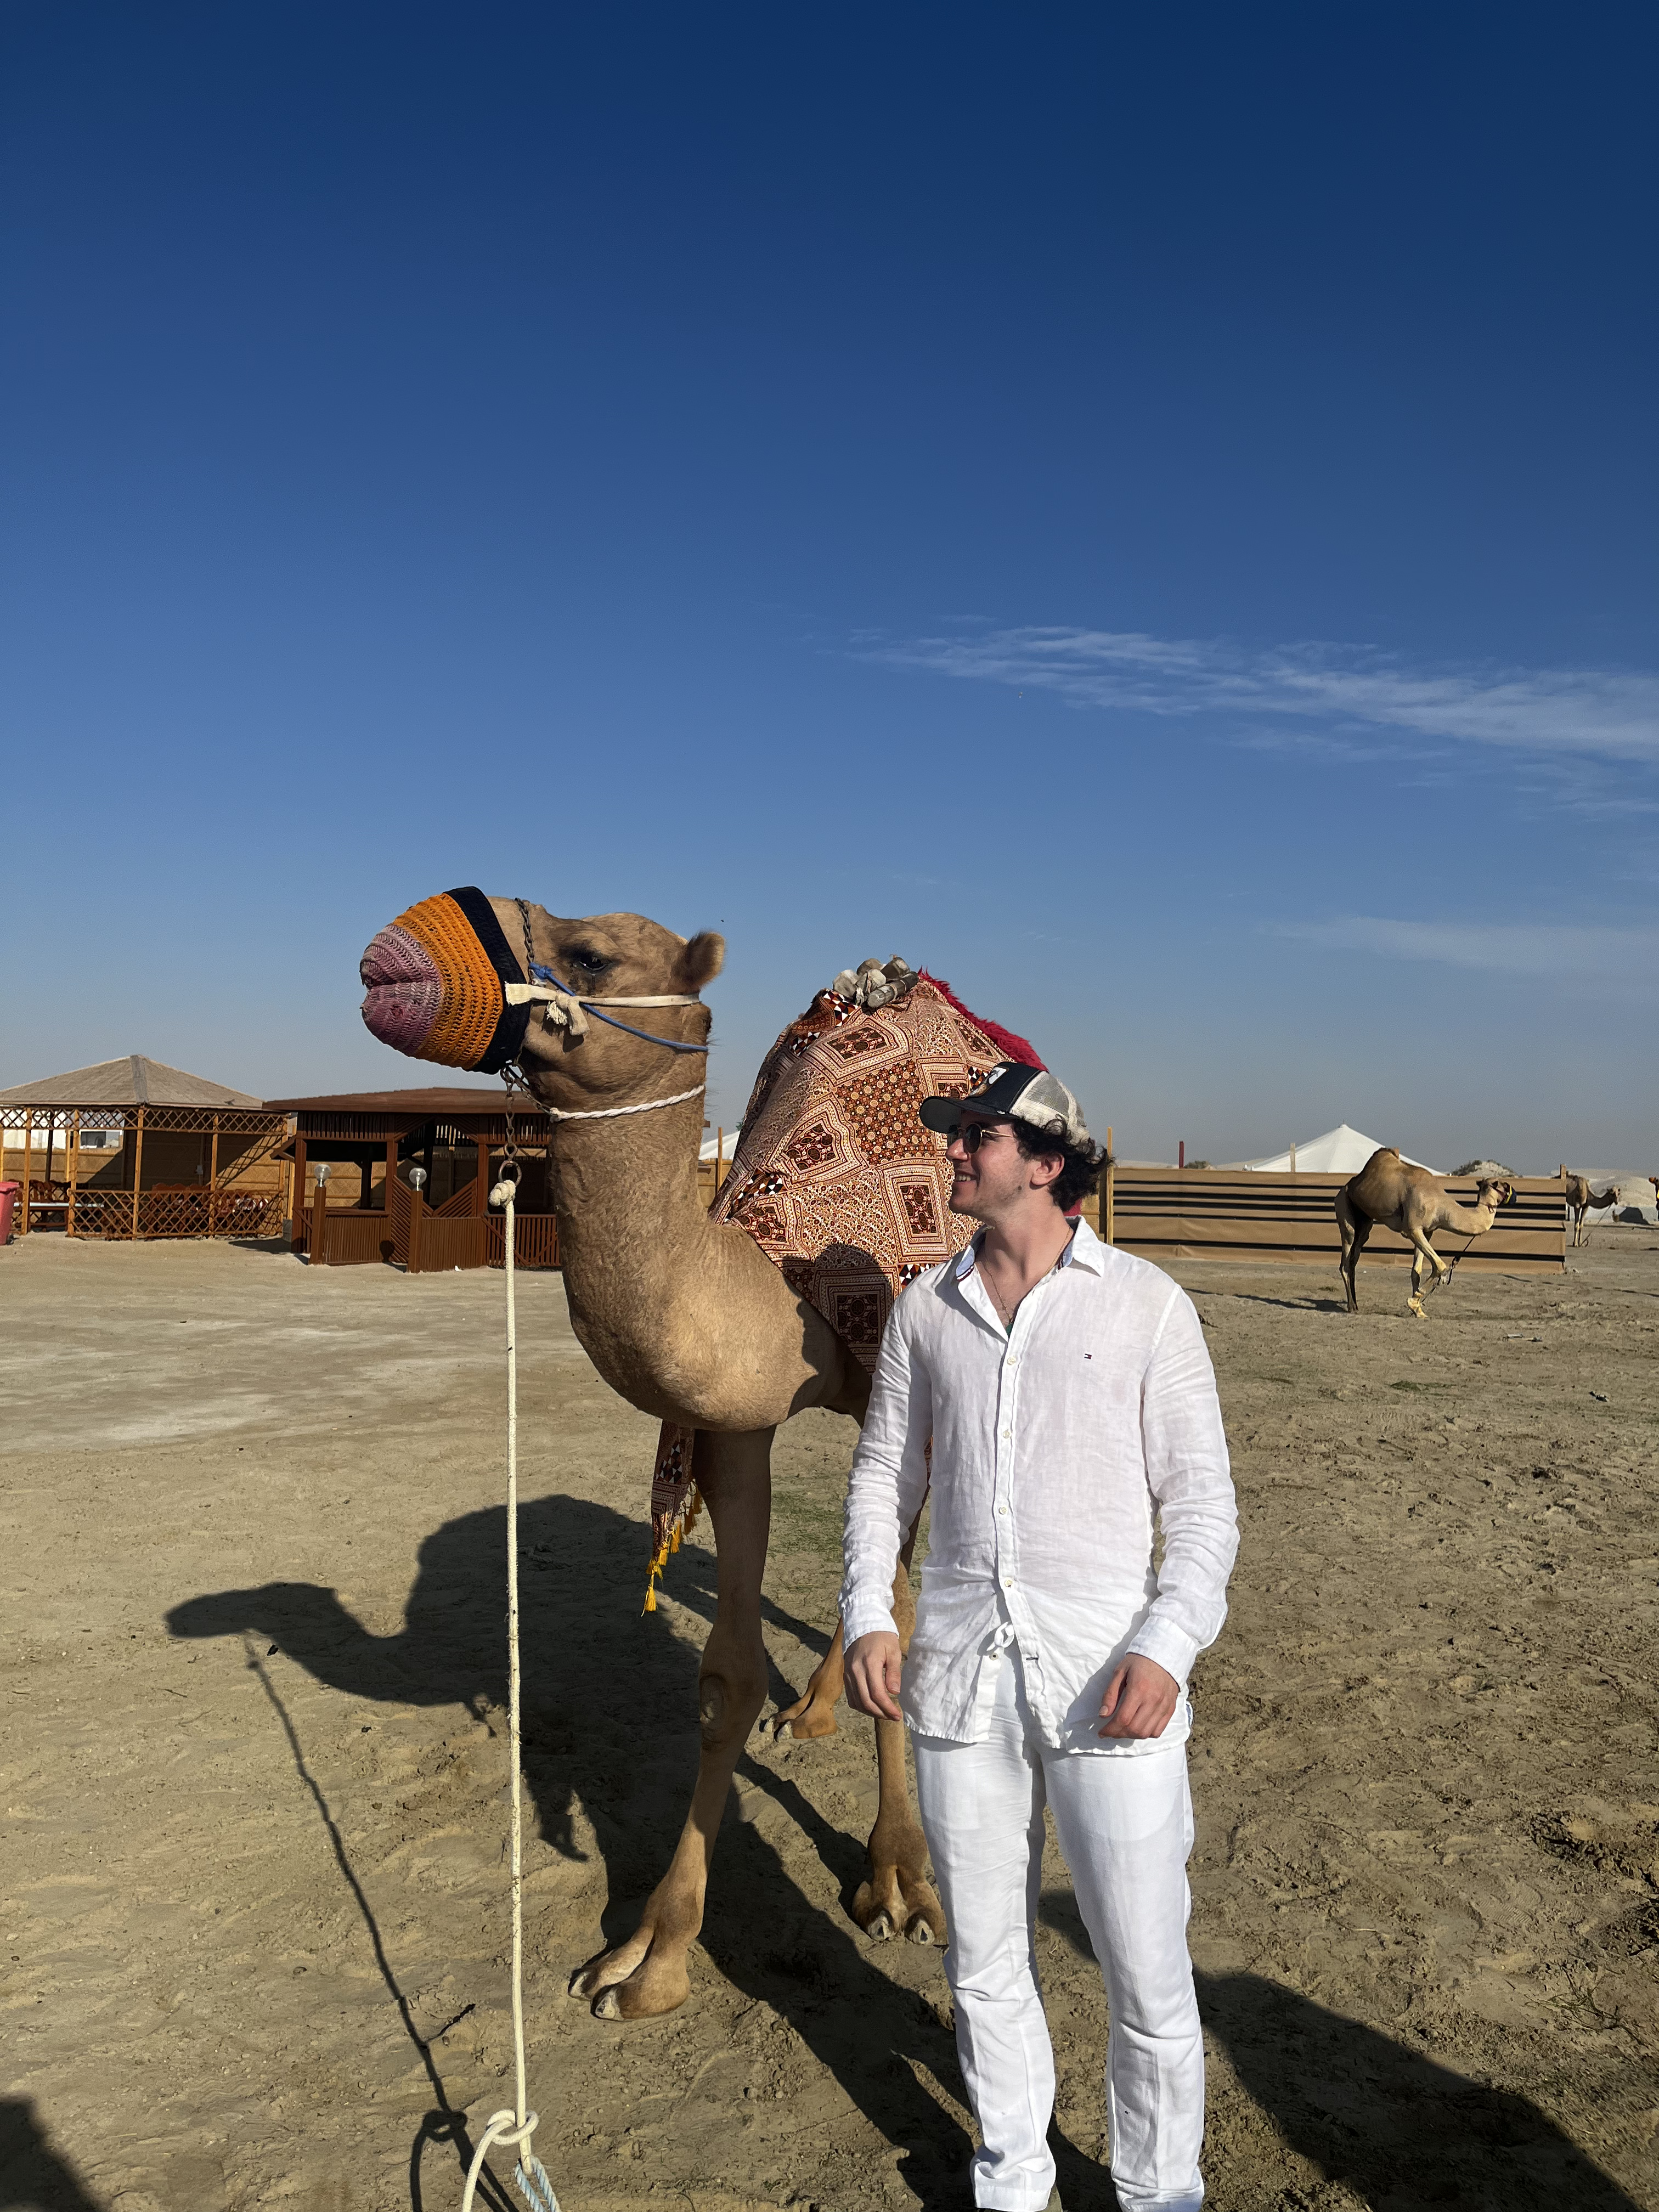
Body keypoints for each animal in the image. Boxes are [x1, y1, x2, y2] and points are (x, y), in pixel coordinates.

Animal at [363, 898, 946, 2026]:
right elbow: (725, 1679)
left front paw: (897, 1878)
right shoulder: (730, 1427)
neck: (768, 1280)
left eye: (591, 955)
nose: (385, 959)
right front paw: (647, 1955)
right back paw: (812, 1710)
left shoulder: (902, 1374)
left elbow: (894, 1597)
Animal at [1336, 1150, 1522, 1318]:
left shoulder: (1428, 1230)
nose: (1516, 1196)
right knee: (1347, 1252)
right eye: (1504, 1186)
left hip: (1366, 1219)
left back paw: (1356, 1304)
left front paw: (1418, 1309)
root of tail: (1348, 1185)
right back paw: (1352, 1307)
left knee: (1356, 1253)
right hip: (1343, 1204)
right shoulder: (1412, 1228)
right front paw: (1414, 1301)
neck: (1440, 1204)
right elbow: (1441, 1266)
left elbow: (1416, 1270)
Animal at [1575, 1177, 1628, 1248]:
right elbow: (1577, 1225)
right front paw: (1576, 1244)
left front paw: (1580, 1244)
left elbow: (1581, 1225)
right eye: (1612, 1193)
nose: (1616, 1202)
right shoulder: (1578, 1204)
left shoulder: (1585, 1206)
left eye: (1618, 1194)